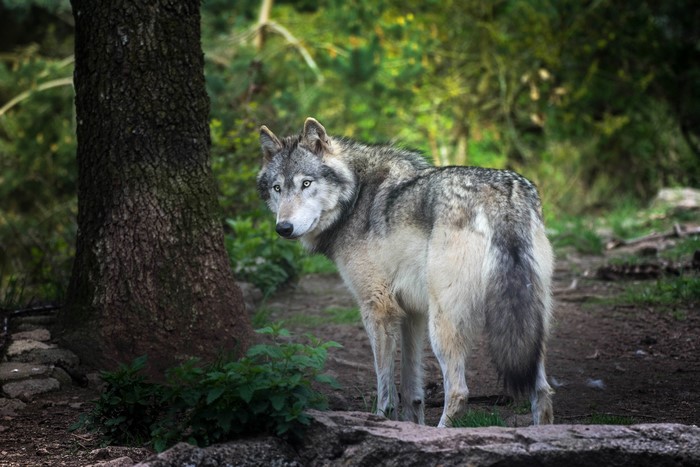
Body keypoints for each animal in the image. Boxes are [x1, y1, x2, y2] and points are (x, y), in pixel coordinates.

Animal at [256, 118, 554, 426]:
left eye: (306, 183)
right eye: (277, 188)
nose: (283, 228)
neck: (355, 197)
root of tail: (502, 196)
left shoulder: (377, 309)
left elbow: (385, 390)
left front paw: (381, 421)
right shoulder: (412, 313)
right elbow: (412, 389)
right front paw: (413, 425)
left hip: (443, 324)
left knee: (459, 392)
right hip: (529, 324)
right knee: (542, 390)